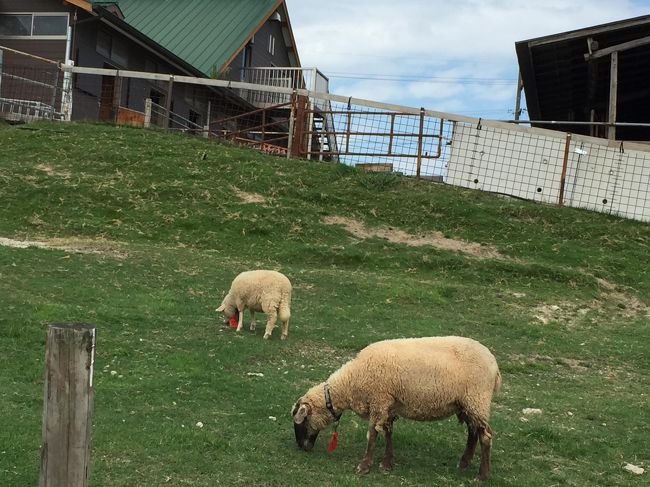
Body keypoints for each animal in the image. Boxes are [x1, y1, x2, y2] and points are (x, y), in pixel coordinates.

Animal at [292, 338, 498, 482]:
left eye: (301, 421)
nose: (302, 447)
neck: (351, 382)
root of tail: (494, 364)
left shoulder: (379, 400)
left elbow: (372, 434)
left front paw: (364, 467)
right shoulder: (388, 405)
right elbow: (388, 432)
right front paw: (386, 463)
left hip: (476, 399)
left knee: (485, 436)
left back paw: (482, 475)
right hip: (467, 404)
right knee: (473, 432)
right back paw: (464, 463)